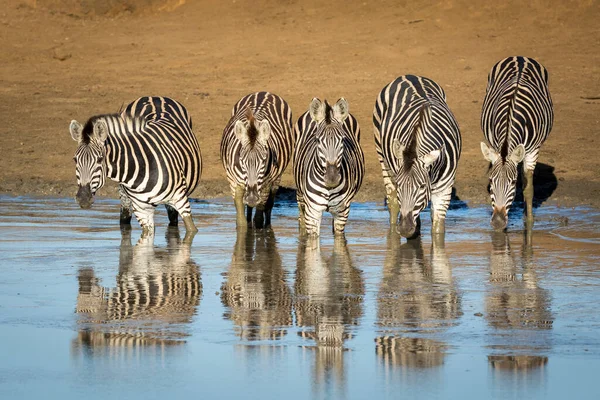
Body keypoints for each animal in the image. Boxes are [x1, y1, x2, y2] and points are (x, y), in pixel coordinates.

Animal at [69, 95, 202, 236]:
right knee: (124, 219)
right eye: (75, 160)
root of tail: (154, 96)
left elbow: (191, 231)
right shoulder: (142, 211)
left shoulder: (180, 200)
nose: (83, 199)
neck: (141, 168)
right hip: (125, 197)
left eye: (100, 159)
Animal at [220, 91, 296, 228]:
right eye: (241, 160)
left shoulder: (266, 184)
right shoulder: (233, 181)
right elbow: (241, 221)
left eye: (263, 161)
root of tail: (264, 92)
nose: (251, 198)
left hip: (276, 179)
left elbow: (259, 218)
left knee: (269, 205)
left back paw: (268, 224)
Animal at [292, 97, 364, 236]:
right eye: (317, 140)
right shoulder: (312, 212)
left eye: (342, 140)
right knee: (301, 218)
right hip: (300, 195)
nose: (332, 178)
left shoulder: (342, 212)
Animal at [372, 74, 462, 238]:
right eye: (400, 185)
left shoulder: (444, 188)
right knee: (393, 201)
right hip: (382, 155)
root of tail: (409, 75)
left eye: (421, 186)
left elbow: (438, 228)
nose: (404, 228)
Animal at [480, 57, 556, 231]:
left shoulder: (533, 151)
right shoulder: (496, 145)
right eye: (491, 181)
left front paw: (528, 221)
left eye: (513, 183)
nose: (498, 222)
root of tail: (520, 57)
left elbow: (528, 188)